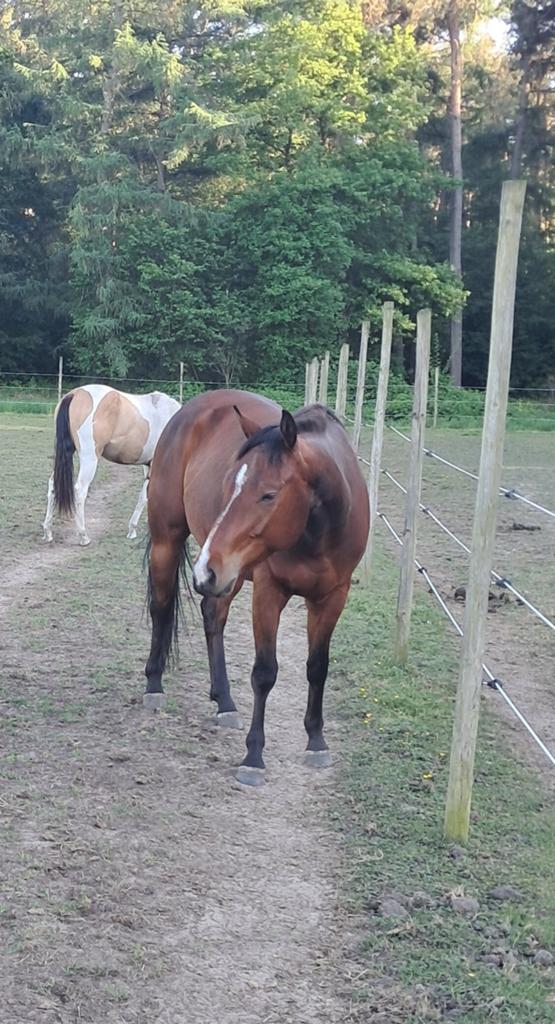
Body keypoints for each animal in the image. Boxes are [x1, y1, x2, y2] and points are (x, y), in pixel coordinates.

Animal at [43, 384, 180, 546]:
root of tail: (75, 394)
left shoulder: (148, 466)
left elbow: (144, 497)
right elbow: (146, 496)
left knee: (53, 485)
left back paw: (48, 532)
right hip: (90, 459)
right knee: (80, 490)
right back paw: (83, 536)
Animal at [144, 389, 369, 785]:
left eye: (268, 494)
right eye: (228, 486)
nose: (205, 569)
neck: (320, 529)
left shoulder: (333, 596)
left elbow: (318, 666)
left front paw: (316, 740)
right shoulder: (268, 592)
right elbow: (264, 673)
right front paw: (253, 756)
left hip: (227, 575)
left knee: (212, 616)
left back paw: (225, 702)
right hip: (171, 543)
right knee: (161, 606)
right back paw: (154, 685)